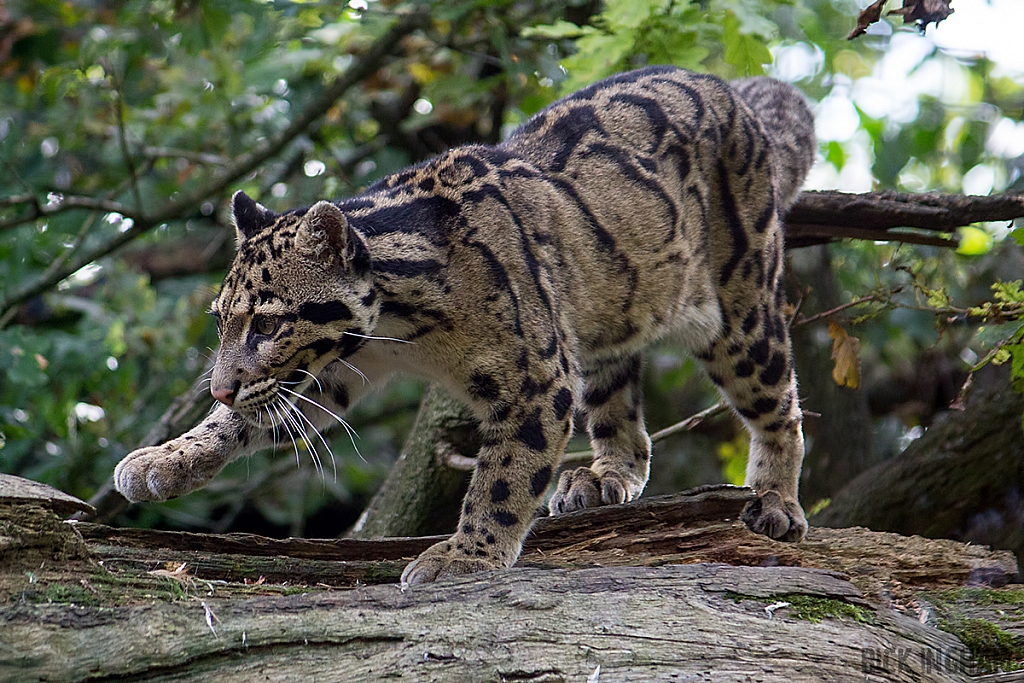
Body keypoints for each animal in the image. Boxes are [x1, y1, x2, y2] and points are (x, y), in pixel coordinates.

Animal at [112, 66, 815, 585]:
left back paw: (777, 501)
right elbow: (252, 415)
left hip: (740, 306)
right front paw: (168, 458)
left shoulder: (538, 378)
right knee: (628, 424)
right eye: (223, 323)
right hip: (606, 319)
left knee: (780, 403)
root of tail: (734, 92)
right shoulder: (336, 367)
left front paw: (466, 555)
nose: (218, 385)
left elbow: (504, 473)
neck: (401, 328)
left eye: (265, 325)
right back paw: (603, 476)